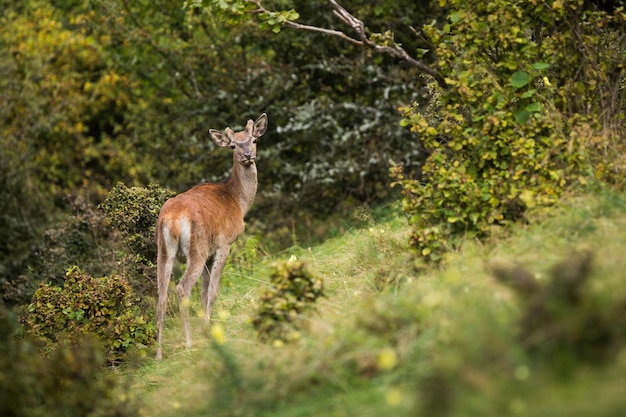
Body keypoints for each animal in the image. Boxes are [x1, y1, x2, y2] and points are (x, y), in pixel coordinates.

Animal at [155, 114, 266, 358]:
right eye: (233, 145)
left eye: (254, 140)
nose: (247, 155)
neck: (239, 202)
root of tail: (173, 219)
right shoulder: (224, 243)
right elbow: (213, 291)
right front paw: (207, 327)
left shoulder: (210, 252)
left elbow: (204, 293)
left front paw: (203, 327)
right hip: (197, 248)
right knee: (182, 288)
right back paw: (189, 343)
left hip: (163, 250)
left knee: (161, 295)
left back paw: (158, 354)